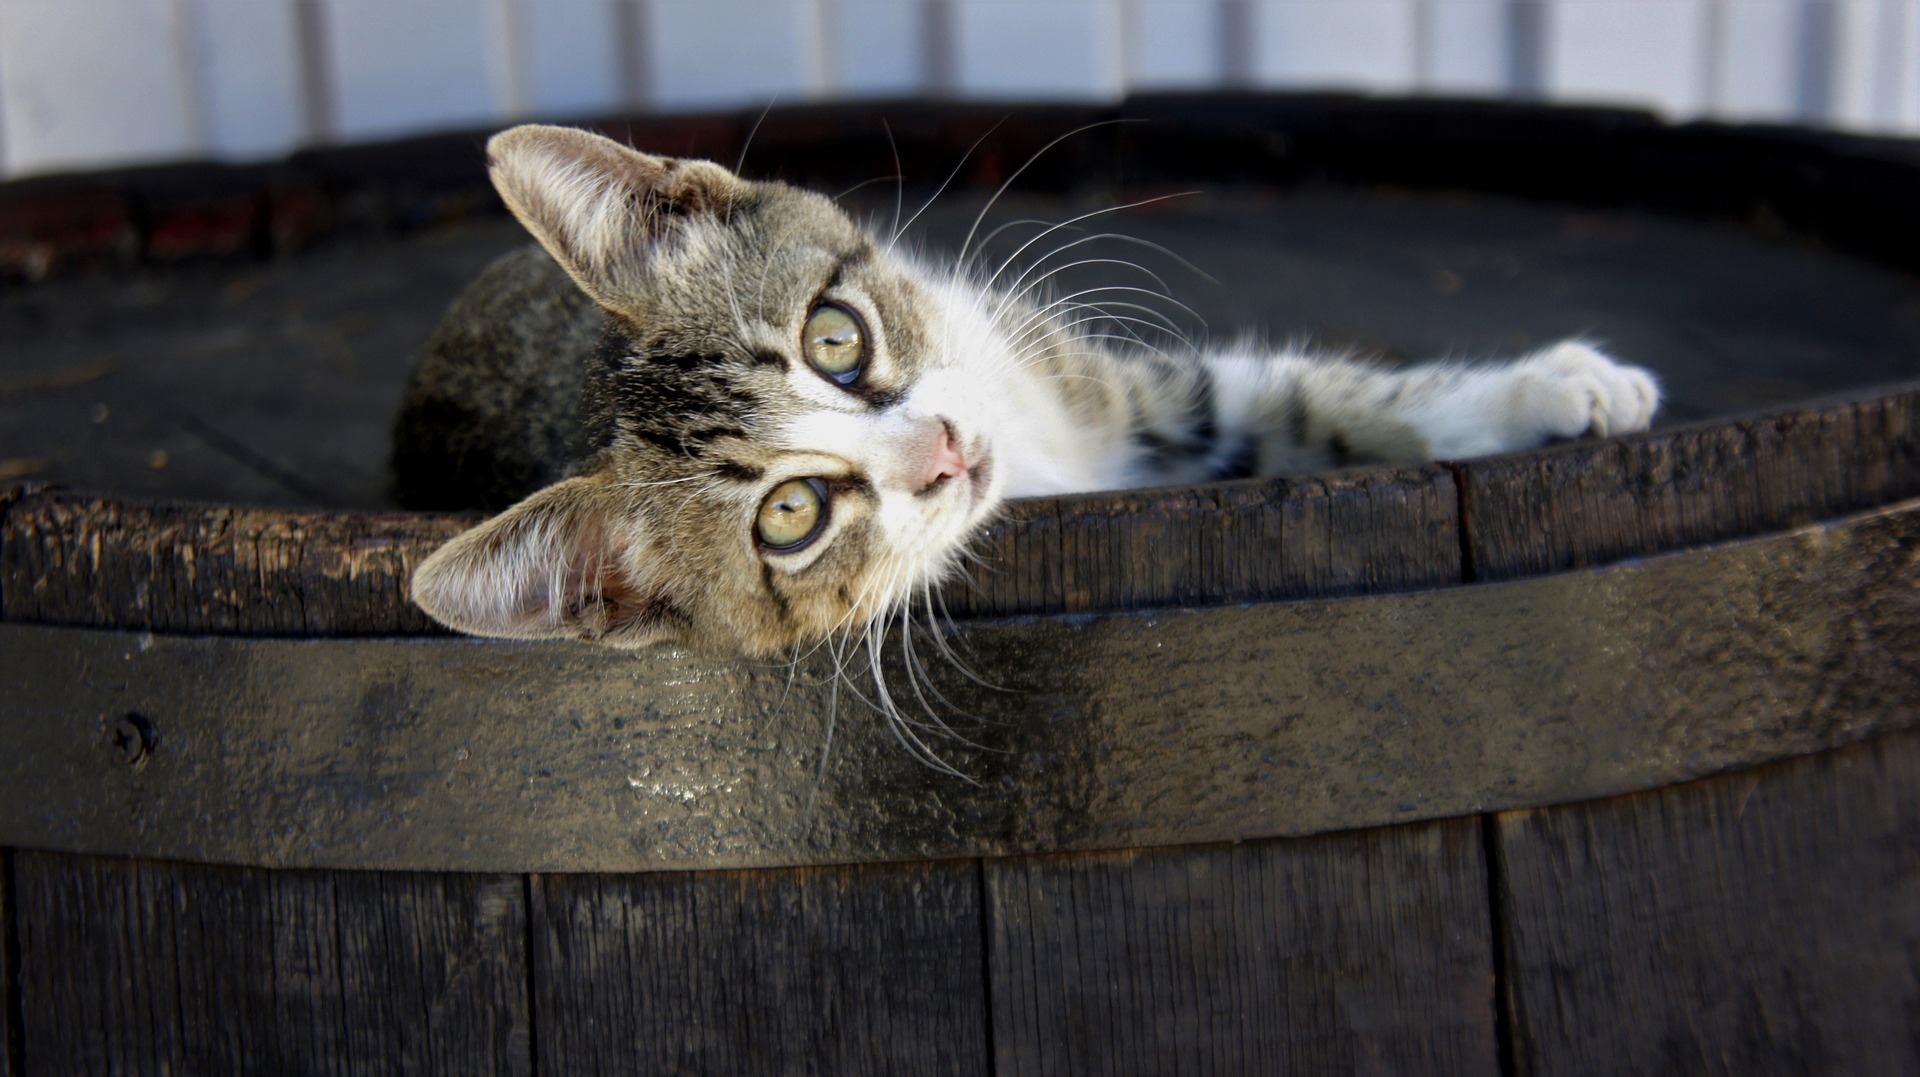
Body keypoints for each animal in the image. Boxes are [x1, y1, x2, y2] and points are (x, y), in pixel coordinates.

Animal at [397, 120, 1658, 652]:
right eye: (791, 514)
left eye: (836, 339)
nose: (945, 450)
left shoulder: (1078, 377)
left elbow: (1303, 403)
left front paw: (1554, 389)